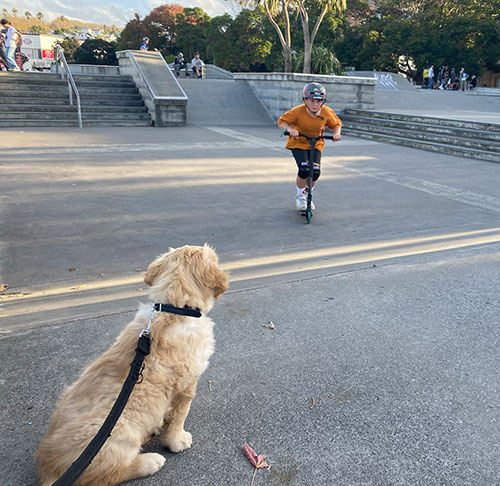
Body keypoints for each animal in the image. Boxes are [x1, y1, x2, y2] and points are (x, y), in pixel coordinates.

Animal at [35, 247, 229, 486]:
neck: (174, 309)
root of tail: (48, 468)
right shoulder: (187, 384)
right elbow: (179, 415)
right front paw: (177, 440)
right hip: (119, 434)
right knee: (107, 475)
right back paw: (150, 462)